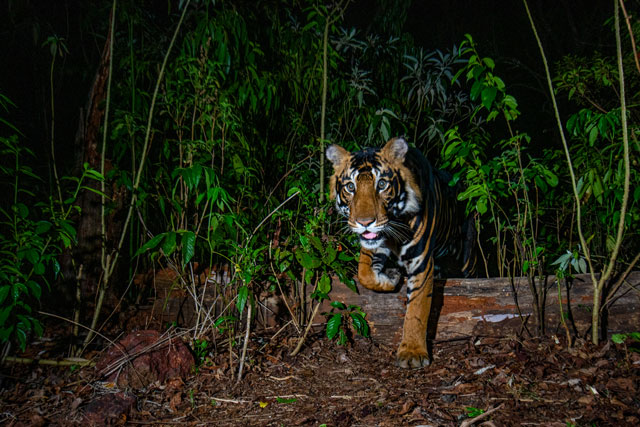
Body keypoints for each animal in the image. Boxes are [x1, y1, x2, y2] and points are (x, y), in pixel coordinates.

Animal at [326, 137, 476, 368]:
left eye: (381, 184)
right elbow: (364, 274)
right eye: (351, 187)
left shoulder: (421, 262)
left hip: (469, 257)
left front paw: (413, 353)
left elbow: (417, 309)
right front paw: (391, 277)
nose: (365, 223)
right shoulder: (374, 245)